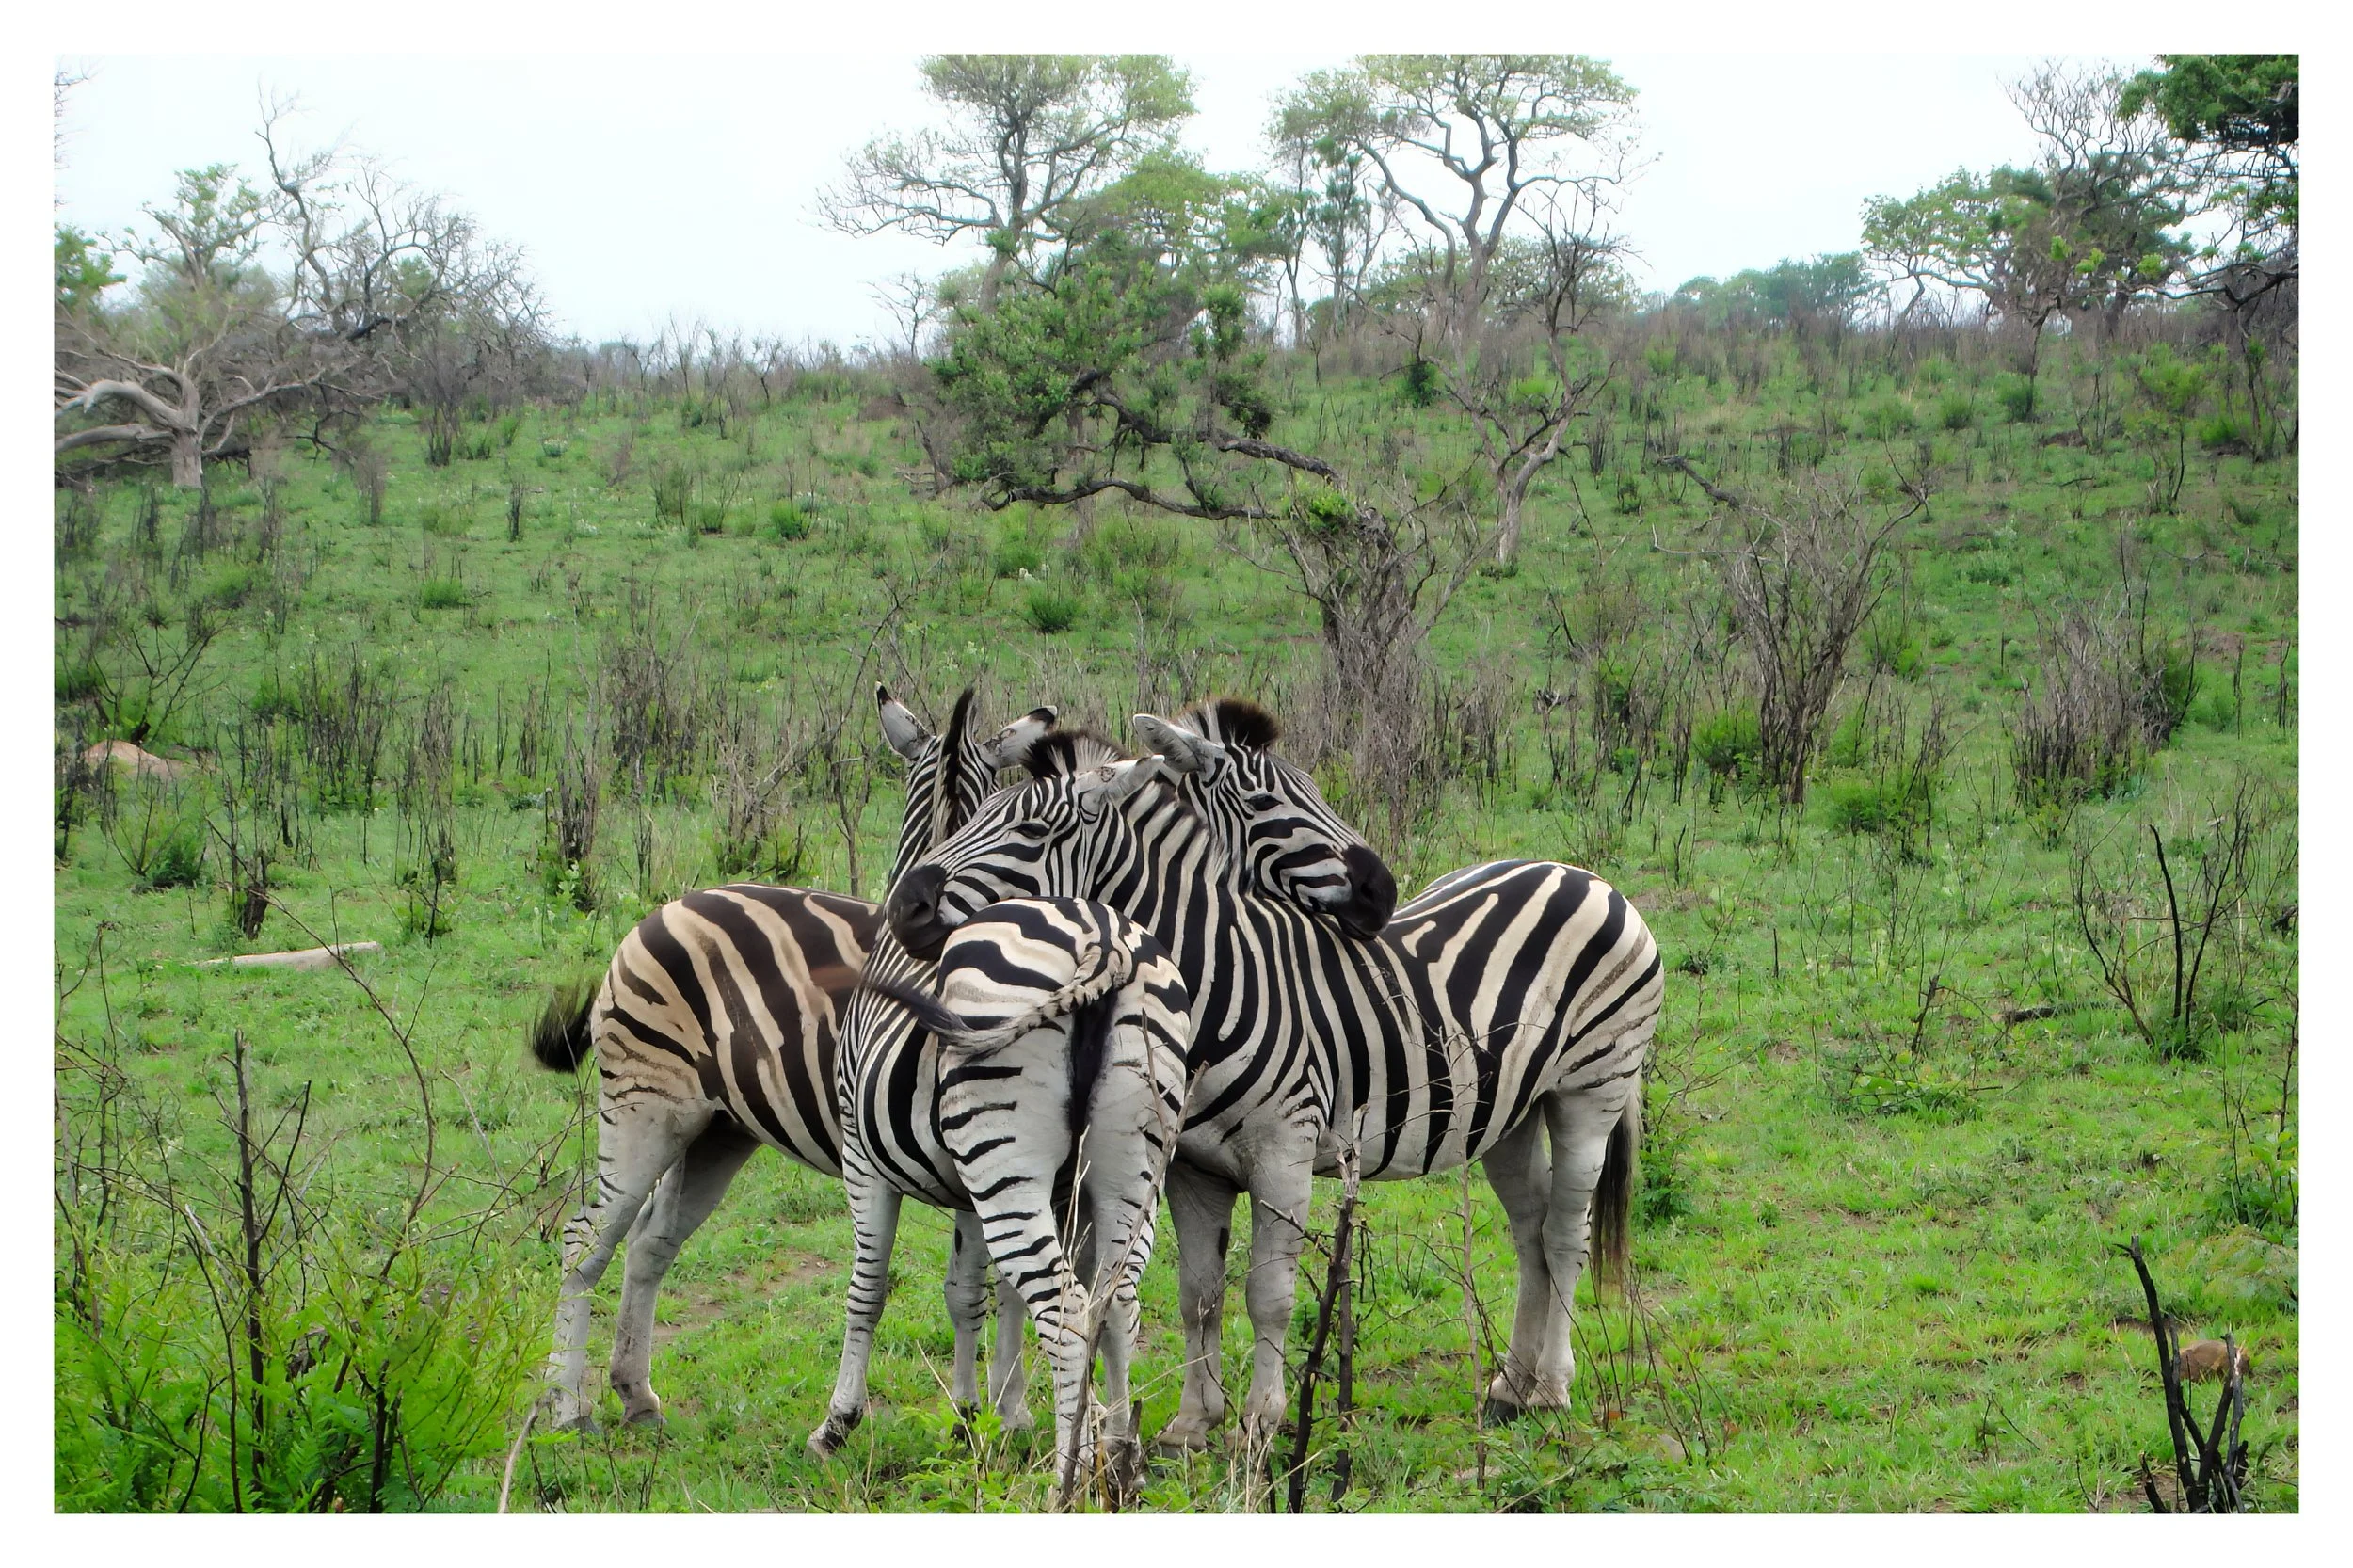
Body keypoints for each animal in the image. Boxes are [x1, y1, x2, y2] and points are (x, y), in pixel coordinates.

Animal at [528, 685, 1053, 1434]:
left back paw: (635, 1393)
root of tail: (660, 911)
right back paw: (566, 1406)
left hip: (717, 1130)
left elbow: (999, 1287)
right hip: (644, 1110)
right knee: (584, 1238)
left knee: (650, 1241)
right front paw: (974, 1417)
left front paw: (1006, 1415)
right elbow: (967, 1289)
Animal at [805, 727, 1139, 1463]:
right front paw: (988, 1414)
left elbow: (867, 1286)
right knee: (1116, 1298)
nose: (905, 909)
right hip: (1120, 1166)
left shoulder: (862, 1156)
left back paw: (1073, 1469)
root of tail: (1100, 944)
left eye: (1028, 828)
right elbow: (977, 1293)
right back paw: (1120, 1453)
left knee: (1070, 1310)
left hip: (1004, 1164)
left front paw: (840, 1419)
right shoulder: (980, 1185)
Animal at [885, 698, 1663, 1450]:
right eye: (1266, 804)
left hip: (1590, 1090)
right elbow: (1199, 1291)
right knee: (1530, 1230)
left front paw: (1261, 1421)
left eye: (1032, 831)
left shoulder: (1284, 1155)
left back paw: (1552, 1388)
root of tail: (1581, 874)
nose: (904, 904)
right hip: (1509, 1112)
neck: (1215, 981)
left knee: (1564, 1233)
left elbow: (1270, 1296)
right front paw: (1192, 1424)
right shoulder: (1189, 1168)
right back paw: (1511, 1386)